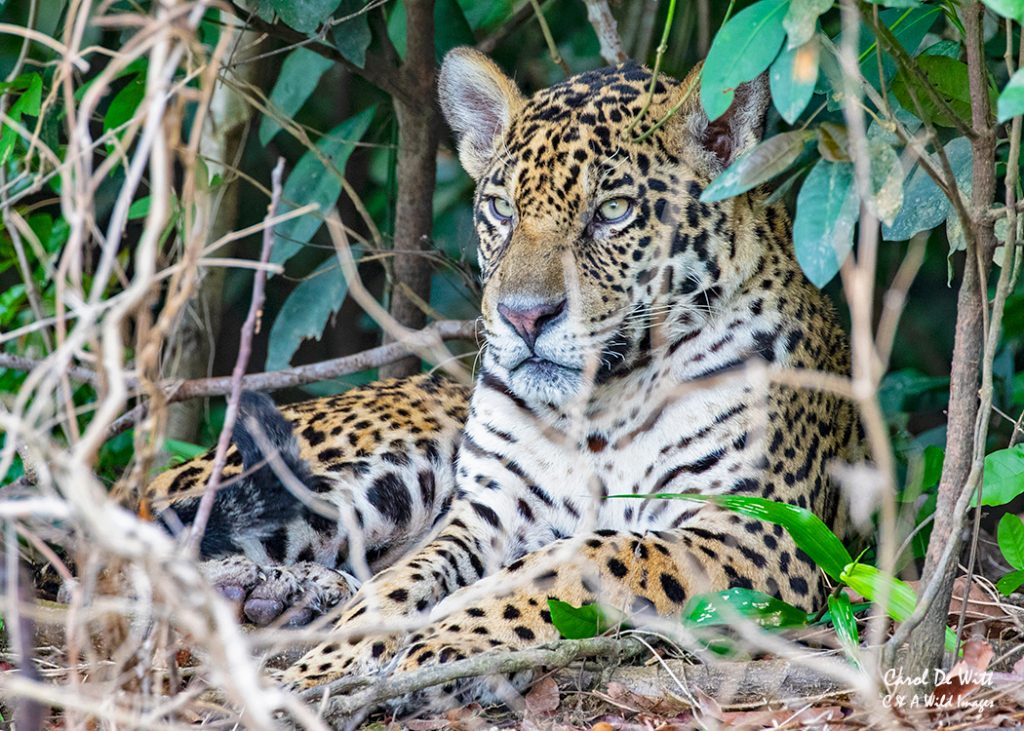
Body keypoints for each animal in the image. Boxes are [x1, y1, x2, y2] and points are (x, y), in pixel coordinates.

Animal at [144, 48, 860, 716]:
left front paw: (443, 647)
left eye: (614, 211)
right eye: (499, 209)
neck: (601, 406)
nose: (524, 316)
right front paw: (328, 665)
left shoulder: (762, 529)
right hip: (380, 471)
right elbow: (401, 581)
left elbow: (584, 558)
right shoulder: (487, 513)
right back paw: (272, 594)